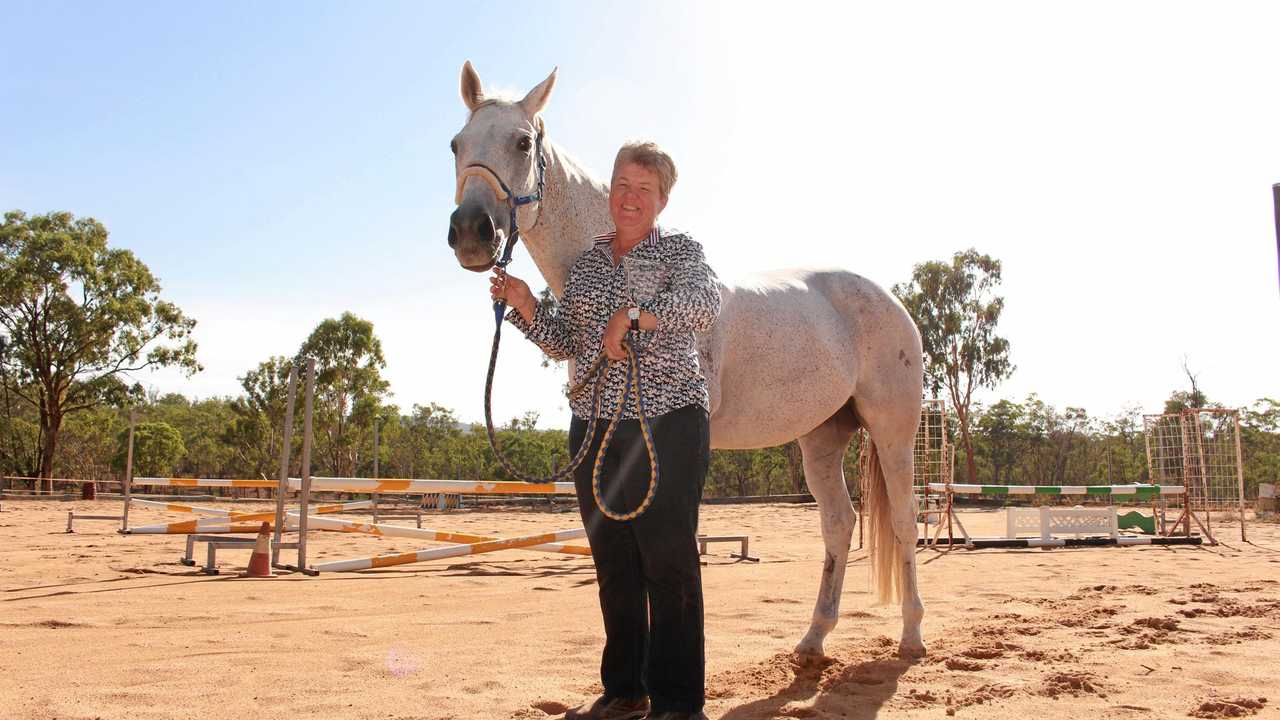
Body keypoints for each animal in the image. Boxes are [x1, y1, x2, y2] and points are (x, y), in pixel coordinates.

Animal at [445, 61, 926, 655]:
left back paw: (911, 635)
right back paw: (814, 637)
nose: (471, 232)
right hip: (821, 437)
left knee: (904, 520)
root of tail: (891, 301)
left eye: (521, 142)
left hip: (892, 430)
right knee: (839, 522)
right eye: (456, 144)